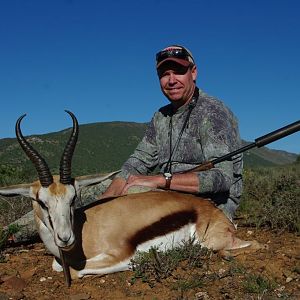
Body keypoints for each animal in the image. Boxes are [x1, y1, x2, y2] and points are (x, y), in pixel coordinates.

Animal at [0, 111, 262, 282]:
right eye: (41, 202)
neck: (86, 231)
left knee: (253, 245)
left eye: (73, 198)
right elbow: (56, 265)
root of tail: (216, 213)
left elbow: (76, 270)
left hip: (212, 241)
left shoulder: (119, 255)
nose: (65, 238)